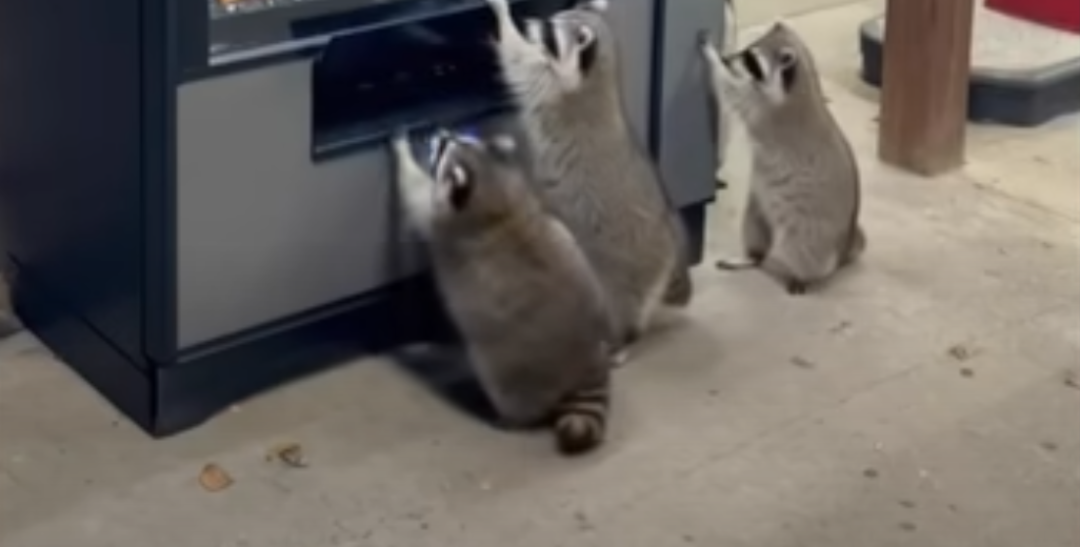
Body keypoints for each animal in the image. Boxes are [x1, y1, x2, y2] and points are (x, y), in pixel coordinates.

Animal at [390, 128, 617, 456]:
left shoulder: (444, 223)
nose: (439, 132)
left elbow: (416, 198)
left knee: (515, 397)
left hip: (516, 371)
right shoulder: (516, 186)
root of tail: (589, 365)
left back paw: (512, 419)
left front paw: (402, 156)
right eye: (455, 137)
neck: (492, 191)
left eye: (443, 147)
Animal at [485, 0, 693, 358]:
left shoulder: (552, 87)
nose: (529, 22)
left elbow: (518, 61)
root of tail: (666, 255)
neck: (600, 74)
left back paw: (620, 338)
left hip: (616, 267)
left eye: (550, 35)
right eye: (551, 21)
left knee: (614, 301)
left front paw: (503, 18)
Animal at [699, 22, 865, 295]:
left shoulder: (765, 110)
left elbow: (731, 91)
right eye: (748, 51)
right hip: (758, 206)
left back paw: (805, 274)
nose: (728, 58)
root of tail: (843, 246)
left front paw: (712, 59)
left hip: (812, 230)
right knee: (755, 229)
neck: (803, 79)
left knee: (805, 253)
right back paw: (753, 256)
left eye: (750, 59)